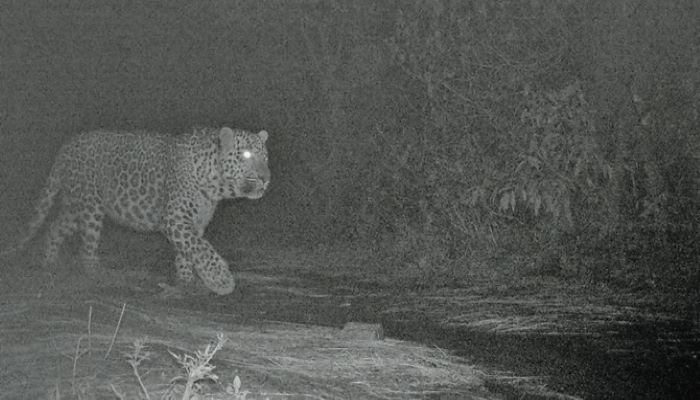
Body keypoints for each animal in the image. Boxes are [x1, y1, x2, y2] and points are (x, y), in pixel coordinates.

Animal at [4, 126, 270, 296]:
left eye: (266, 158)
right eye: (246, 155)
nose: (266, 178)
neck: (215, 185)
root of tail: (66, 146)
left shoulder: (193, 222)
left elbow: (188, 250)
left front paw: (185, 282)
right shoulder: (174, 218)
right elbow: (201, 248)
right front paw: (222, 281)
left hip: (75, 205)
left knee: (55, 226)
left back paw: (49, 264)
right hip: (90, 207)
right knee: (86, 247)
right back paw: (97, 275)